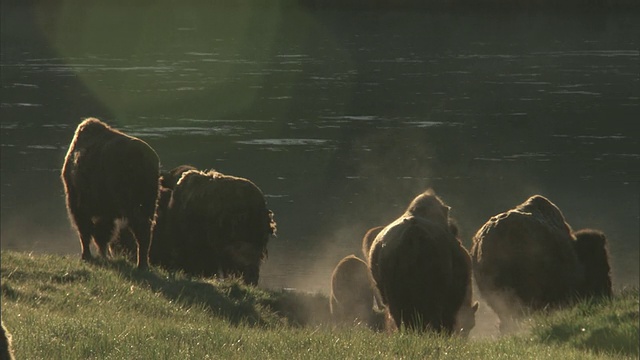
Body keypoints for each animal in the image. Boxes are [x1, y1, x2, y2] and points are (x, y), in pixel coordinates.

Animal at [61, 118, 160, 270]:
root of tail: (145, 160)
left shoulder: (77, 200)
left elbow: (85, 228)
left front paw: (87, 255)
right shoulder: (106, 209)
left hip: (130, 199)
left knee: (140, 226)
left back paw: (141, 264)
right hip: (150, 200)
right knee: (147, 227)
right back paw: (143, 262)